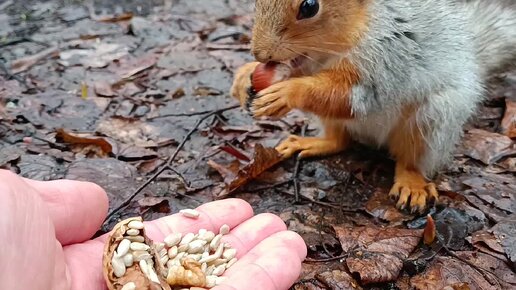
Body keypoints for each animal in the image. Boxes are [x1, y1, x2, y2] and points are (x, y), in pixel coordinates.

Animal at [230, 0, 516, 213]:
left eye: (310, 6)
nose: (259, 54)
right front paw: (245, 76)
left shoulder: (387, 59)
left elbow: (348, 97)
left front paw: (288, 92)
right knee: (340, 139)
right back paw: (314, 142)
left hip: (433, 116)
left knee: (412, 158)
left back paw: (412, 182)